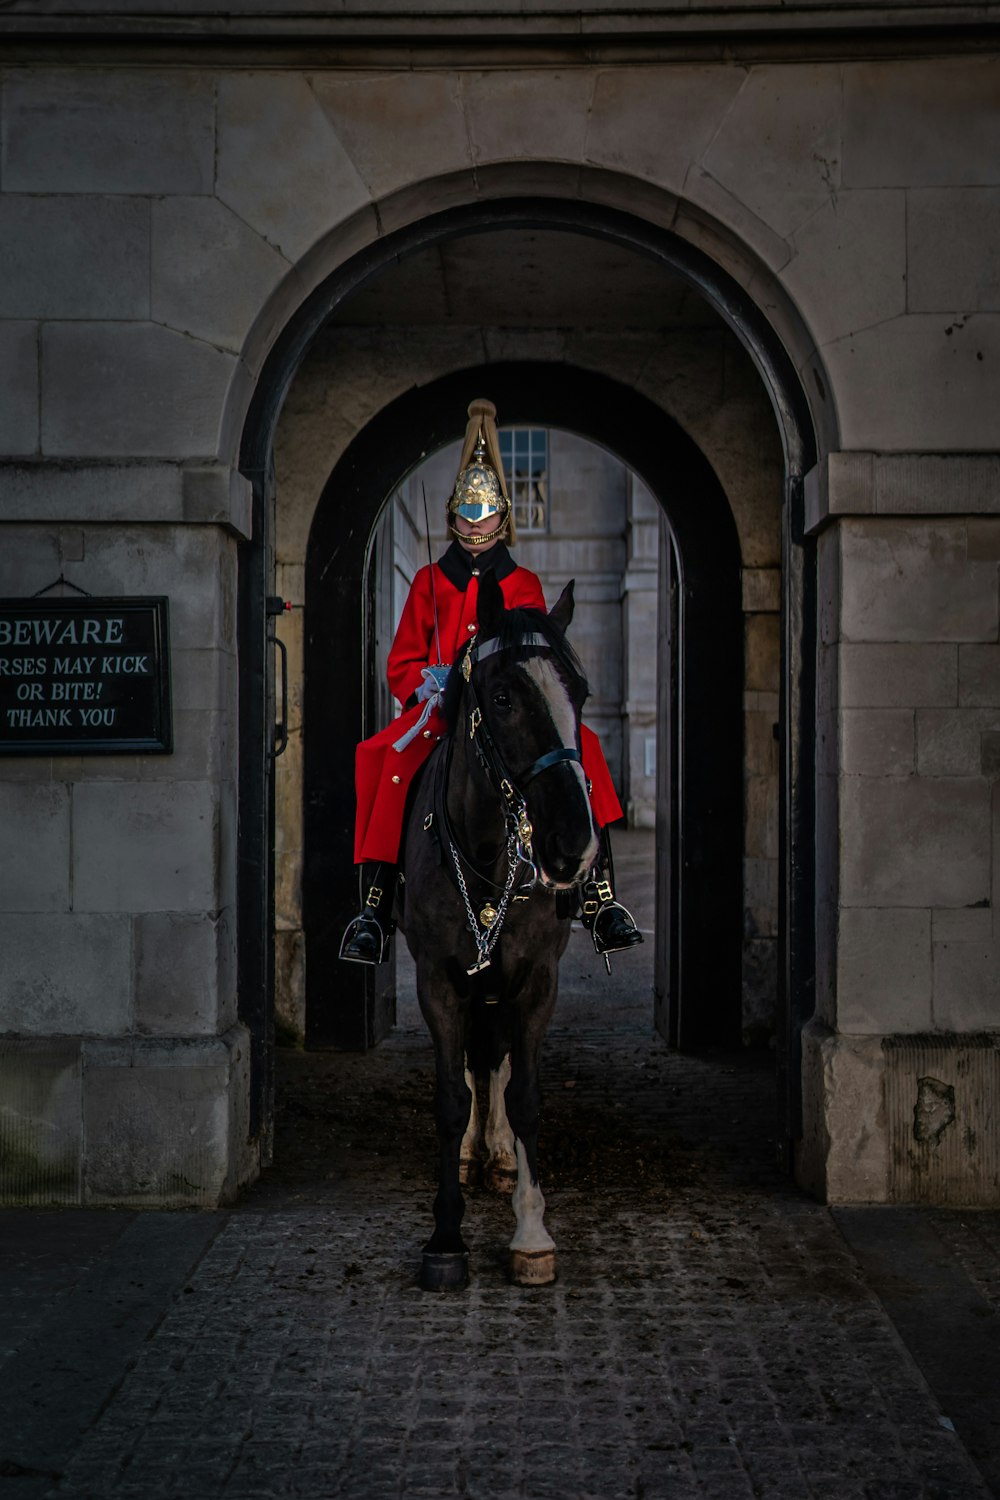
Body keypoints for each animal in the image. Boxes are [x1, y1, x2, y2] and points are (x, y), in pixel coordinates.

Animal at [401, 570, 602, 1290]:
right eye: (504, 695)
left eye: (580, 691)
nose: (571, 843)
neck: (487, 857)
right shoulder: (438, 978)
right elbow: (450, 1096)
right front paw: (444, 1238)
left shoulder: (536, 978)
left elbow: (525, 1096)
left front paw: (532, 1232)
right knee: (475, 1063)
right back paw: (473, 1153)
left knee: (497, 1060)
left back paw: (500, 1156)